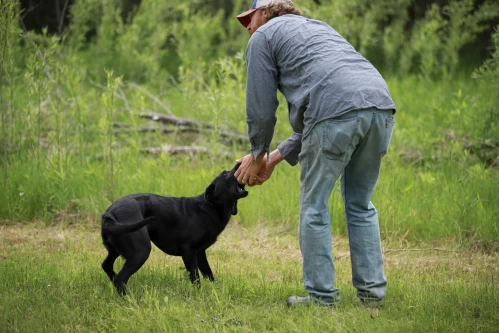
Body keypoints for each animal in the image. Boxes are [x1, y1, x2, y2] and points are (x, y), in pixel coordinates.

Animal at [101, 163, 248, 294]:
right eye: (224, 173)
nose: (239, 163)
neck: (210, 208)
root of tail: (109, 215)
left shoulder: (200, 252)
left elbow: (209, 274)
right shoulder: (188, 252)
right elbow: (196, 278)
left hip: (115, 250)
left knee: (107, 267)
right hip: (140, 251)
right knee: (120, 279)